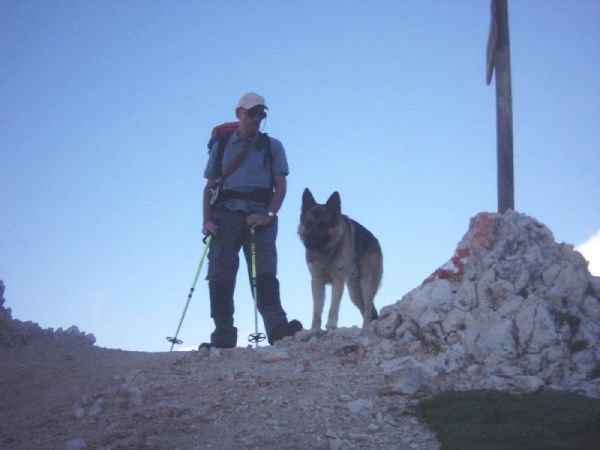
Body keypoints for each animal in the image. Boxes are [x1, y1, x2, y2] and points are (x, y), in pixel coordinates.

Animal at [296, 188, 384, 332]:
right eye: (308, 224)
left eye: (323, 225)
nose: (310, 244)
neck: (327, 255)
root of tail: (375, 240)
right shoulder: (317, 281)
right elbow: (317, 309)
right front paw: (314, 329)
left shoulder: (338, 280)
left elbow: (333, 305)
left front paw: (331, 325)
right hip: (354, 294)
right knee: (366, 308)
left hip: (366, 286)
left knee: (368, 309)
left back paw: (365, 327)